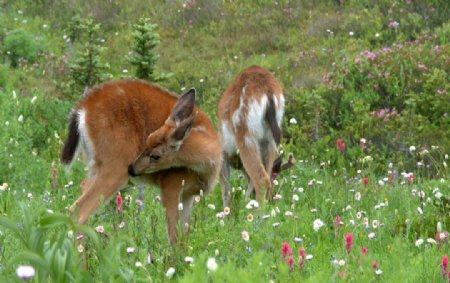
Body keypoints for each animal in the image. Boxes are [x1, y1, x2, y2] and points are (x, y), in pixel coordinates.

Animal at [59, 79, 221, 244]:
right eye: (146, 140)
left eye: (155, 155)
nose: (132, 168)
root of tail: (82, 107)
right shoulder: (171, 185)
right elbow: (173, 237)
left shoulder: (189, 195)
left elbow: (184, 236)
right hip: (115, 166)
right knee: (79, 210)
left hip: (94, 165)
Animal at [218, 66, 284, 209]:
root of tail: (268, 93)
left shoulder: (223, 152)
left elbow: (226, 190)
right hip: (270, 139)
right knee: (266, 174)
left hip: (246, 134)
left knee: (261, 179)